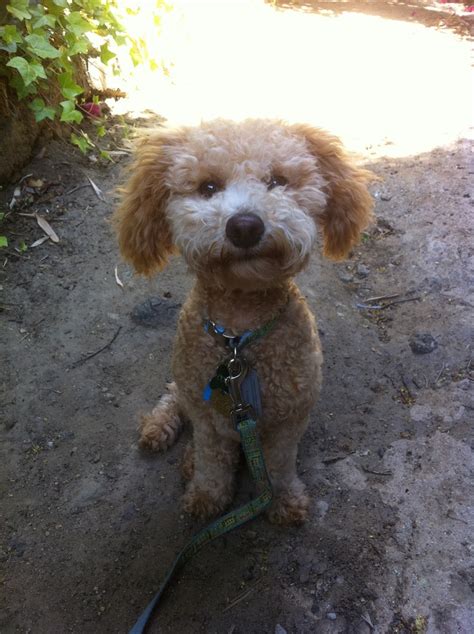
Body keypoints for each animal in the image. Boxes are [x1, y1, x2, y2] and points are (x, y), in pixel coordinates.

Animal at [115, 118, 374, 524]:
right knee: (173, 396)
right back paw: (162, 430)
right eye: (208, 187)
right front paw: (206, 497)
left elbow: (279, 464)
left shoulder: (288, 421)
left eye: (279, 181)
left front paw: (284, 500)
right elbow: (212, 462)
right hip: (188, 388)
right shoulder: (207, 420)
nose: (245, 226)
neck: (239, 332)